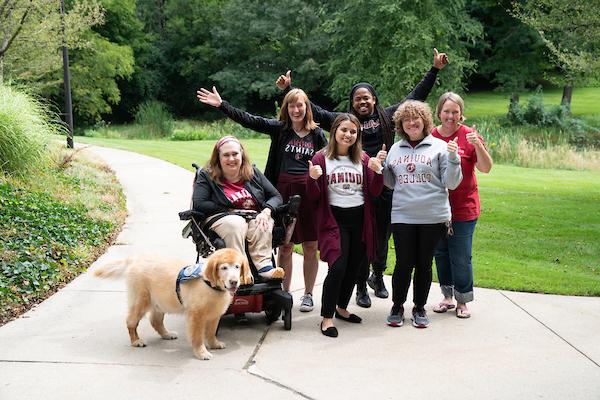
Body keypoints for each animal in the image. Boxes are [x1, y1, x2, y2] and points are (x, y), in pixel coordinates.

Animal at [93, 248, 251, 360]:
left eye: (237, 267)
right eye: (224, 268)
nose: (234, 282)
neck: (211, 284)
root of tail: (135, 259)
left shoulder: (214, 315)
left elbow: (211, 332)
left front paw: (214, 344)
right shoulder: (196, 316)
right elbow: (198, 337)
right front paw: (201, 352)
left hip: (160, 301)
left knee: (155, 321)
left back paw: (167, 334)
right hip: (141, 300)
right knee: (131, 321)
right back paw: (136, 340)